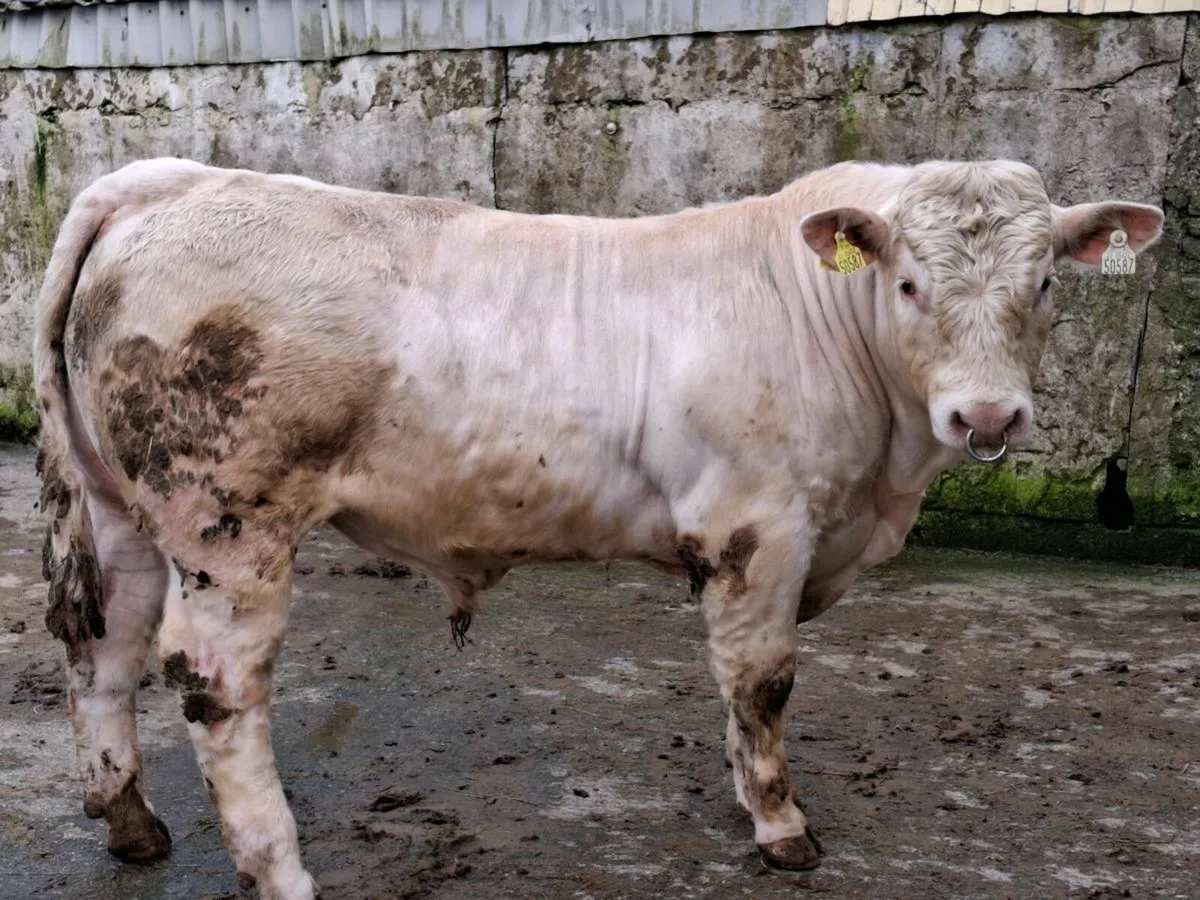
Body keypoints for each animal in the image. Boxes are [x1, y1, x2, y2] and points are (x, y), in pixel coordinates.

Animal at [32, 156, 1163, 898]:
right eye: (911, 282)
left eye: (1046, 283)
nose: (987, 417)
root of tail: (169, 181)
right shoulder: (759, 526)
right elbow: (762, 683)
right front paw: (780, 825)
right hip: (230, 521)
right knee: (213, 681)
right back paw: (280, 868)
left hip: (126, 512)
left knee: (105, 647)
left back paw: (130, 823)